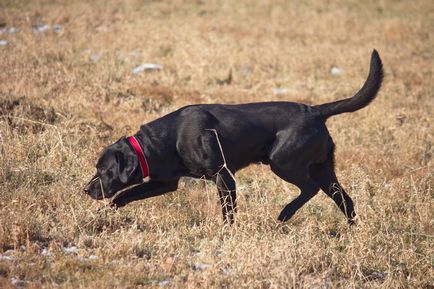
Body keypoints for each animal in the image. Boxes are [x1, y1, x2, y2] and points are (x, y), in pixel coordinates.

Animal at [85, 50, 384, 224]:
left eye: (105, 170)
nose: (86, 189)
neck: (166, 140)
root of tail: (315, 110)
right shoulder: (166, 181)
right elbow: (126, 194)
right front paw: (109, 211)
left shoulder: (224, 176)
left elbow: (228, 213)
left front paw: (228, 233)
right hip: (323, 169)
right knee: (345, 199)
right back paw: (352, 231)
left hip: (283, 162)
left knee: (309, 188)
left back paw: (284, 214)